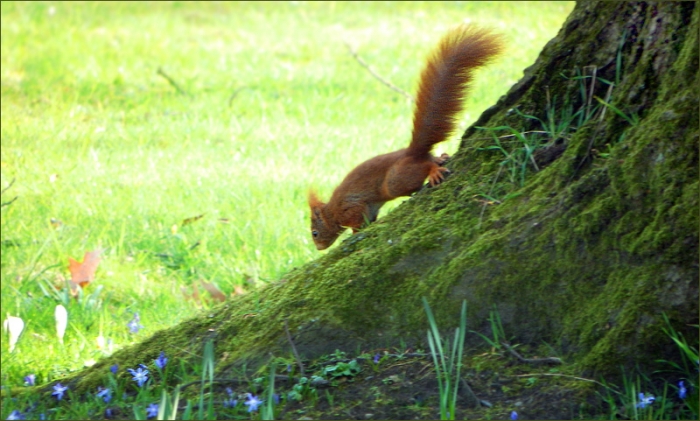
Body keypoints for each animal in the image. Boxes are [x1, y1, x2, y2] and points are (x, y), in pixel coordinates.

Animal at [308, 24, 503, 250]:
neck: (332, 212)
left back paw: (433, 170)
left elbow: (357, 222)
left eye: (315, 232)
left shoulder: (350, 208)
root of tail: (412, 153)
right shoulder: (367, 208)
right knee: (431, 158)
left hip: (395, 181)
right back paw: (441, 157)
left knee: (422, 168)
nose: (319, 248)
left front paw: (353, 235)